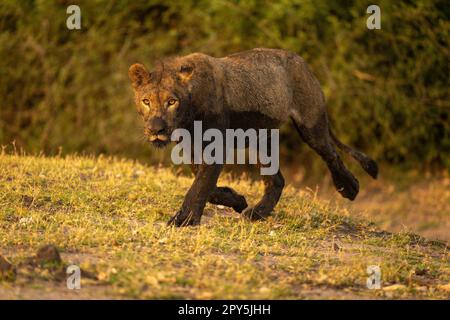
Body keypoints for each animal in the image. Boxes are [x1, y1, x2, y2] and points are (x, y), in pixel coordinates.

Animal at [128, 48, 378, 228]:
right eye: (146, 101)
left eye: (172, 101)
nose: (156, 129)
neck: (188, 115)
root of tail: (303, 62)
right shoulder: (191, 147)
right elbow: (206, 183)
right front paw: (237, 199)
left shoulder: (215, 147)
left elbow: (199, 186)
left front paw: (183, 220)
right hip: (260, 140)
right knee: (277, 180)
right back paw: (256, 213)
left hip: (311, 124)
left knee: (331, 155)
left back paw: (349, 187)